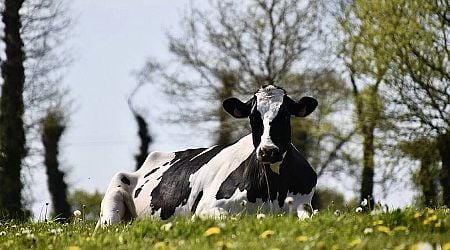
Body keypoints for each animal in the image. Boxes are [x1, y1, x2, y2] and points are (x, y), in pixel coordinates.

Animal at [96, 84, 318, 227]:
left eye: (286, 115)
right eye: (253, 117)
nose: (268, 150)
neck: (273, 190)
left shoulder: (303, 204)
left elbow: (310, 216)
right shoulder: (205, 209)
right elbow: (229, 218)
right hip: (113, 198)